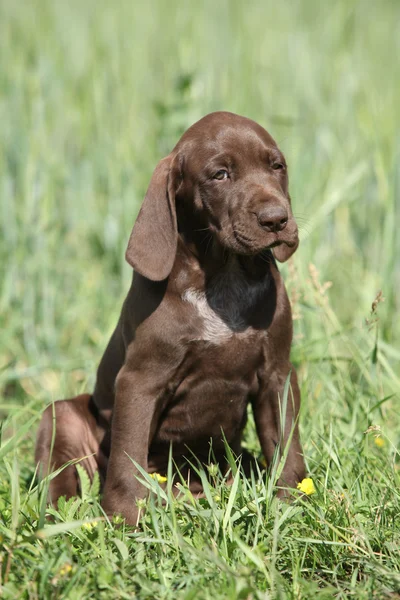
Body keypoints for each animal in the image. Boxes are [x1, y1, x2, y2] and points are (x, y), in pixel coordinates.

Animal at [36, 112, 306, 524]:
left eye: (277, 166)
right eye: (220, 175)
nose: (277, 219)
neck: (224, 275)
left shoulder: (277, 373)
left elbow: (285, 442)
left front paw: (291, 503)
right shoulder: (140, 381)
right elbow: (127, 456)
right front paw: (125, 518)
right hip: (64, 416)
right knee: (62, 472)